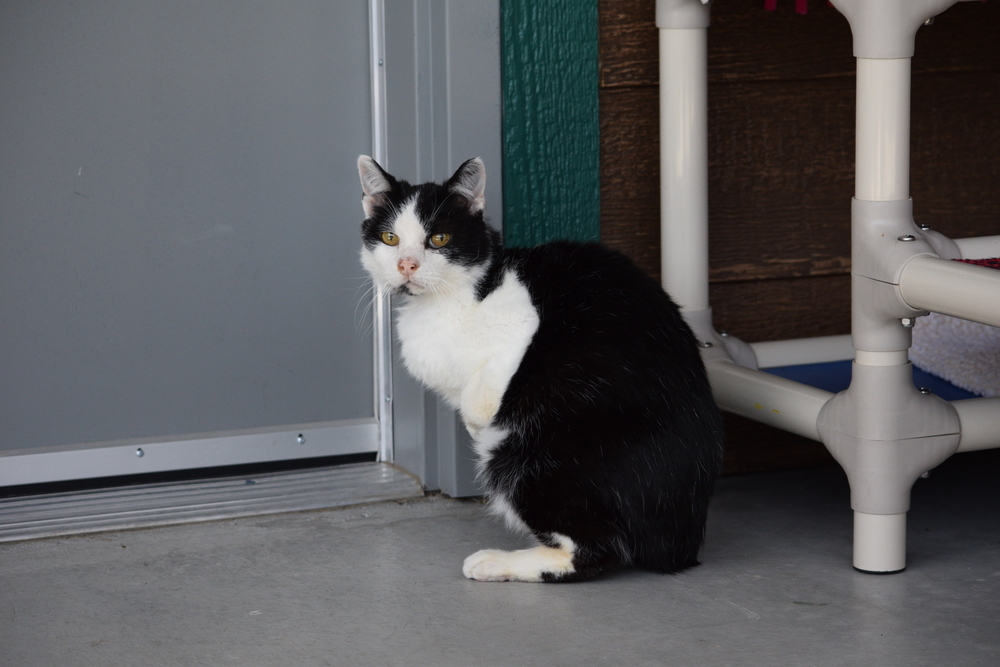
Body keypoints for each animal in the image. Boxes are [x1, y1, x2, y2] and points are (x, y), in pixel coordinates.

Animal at [356, 154, 724, 580]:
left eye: (439, 239)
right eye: (390, 239)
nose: (406, 265)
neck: (449, 300)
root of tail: (681, 543)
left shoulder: (523, 322)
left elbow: (483, 392)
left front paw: (477, 415)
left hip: (525, 455)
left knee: (599, 551)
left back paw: (500, 561)